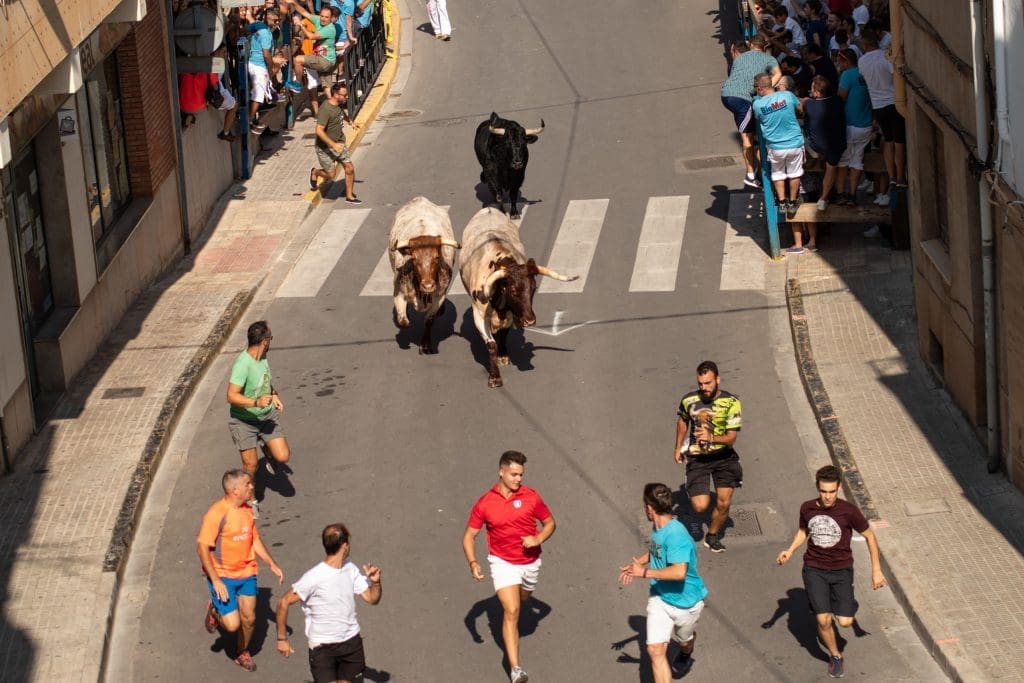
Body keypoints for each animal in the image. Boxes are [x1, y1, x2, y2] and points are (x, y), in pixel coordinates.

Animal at [388, 197, 462, 354]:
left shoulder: (438, 297)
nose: (428, 285)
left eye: (437, 257)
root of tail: (420, 199)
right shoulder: (398, 293)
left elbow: (429, 320)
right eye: (414, 259)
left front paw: (426, 344)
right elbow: (403, 321)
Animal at [459, 207, 578, 387]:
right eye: (514, 291)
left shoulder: (510, 314)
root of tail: (489, 209)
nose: (530, 320)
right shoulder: (479, 315)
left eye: (534, 289)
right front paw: (495, 377)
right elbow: (491, 344)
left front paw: (503, 355)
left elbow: (504, 333)